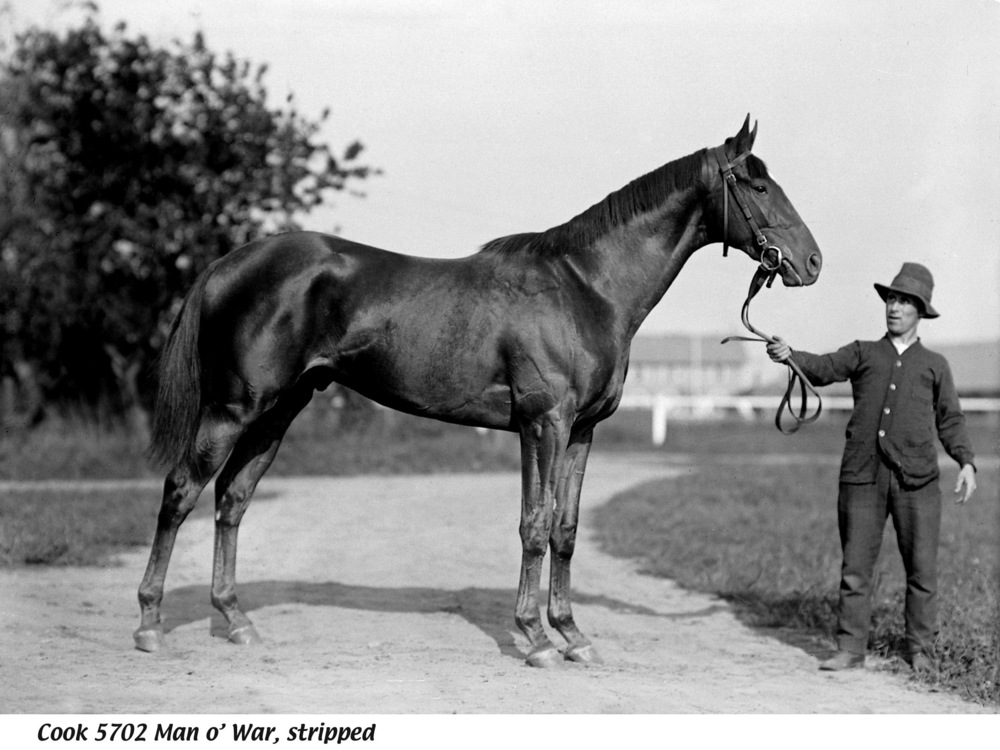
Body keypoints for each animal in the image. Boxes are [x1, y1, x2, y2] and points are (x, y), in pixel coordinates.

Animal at [135, 114, 820, 668]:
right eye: (757, 185)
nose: (811, 263)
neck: (587, 288)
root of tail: (228, 264)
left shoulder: (582, 430)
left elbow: (566, 529)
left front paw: (573, 636)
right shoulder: (544, 424)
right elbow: (534, 526)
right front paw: (536, 640)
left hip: (280, 410)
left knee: (232, 499)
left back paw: (237, 622)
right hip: (232, 408)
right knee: (181, 492)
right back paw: (149, 625)